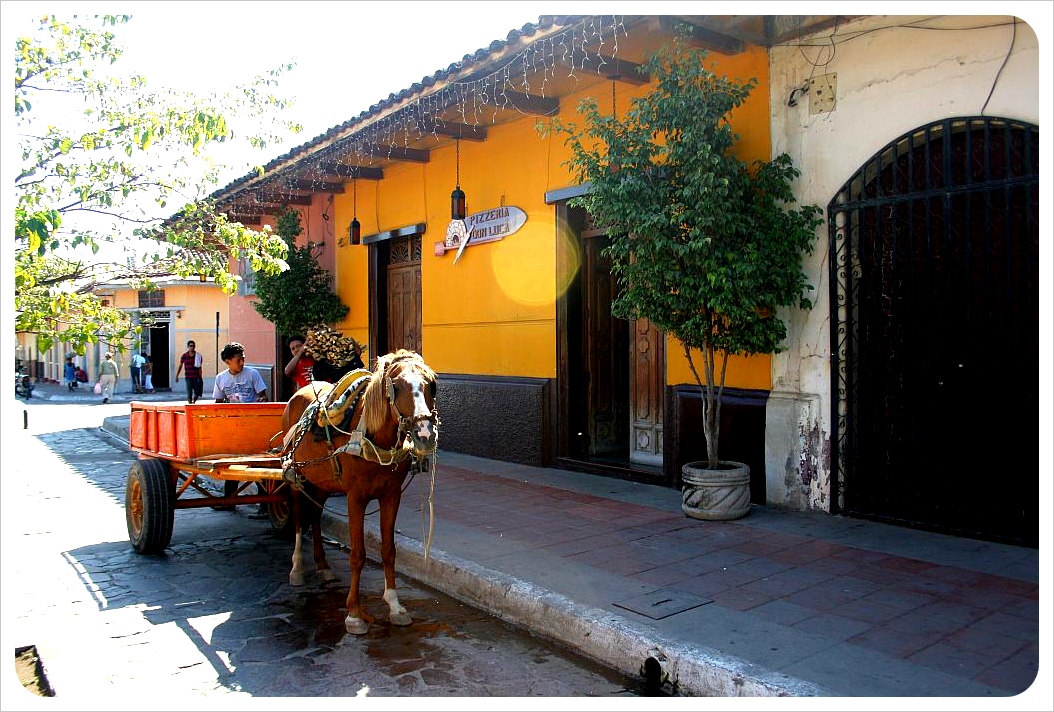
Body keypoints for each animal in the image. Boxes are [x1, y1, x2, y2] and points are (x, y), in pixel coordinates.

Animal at [278, 349, 438, 636]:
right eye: (396, 386)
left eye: (431, 384)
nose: (425, 435)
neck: (375, 437)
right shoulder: (356, 498)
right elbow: (357, 554)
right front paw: (354, 614)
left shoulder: (391, 496)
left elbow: (389, 551)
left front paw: (395, 606)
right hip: (296, 475)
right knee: (298, 518)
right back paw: (297, 568)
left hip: (323, 482)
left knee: (315, 515)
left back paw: (322, 565)